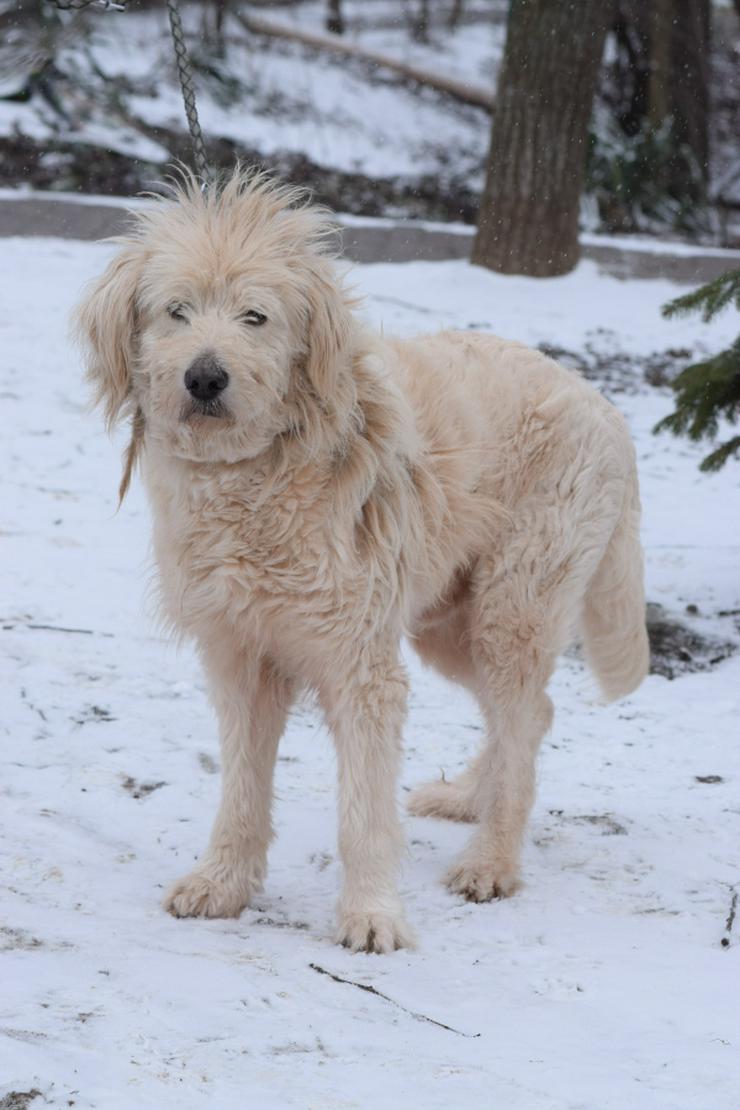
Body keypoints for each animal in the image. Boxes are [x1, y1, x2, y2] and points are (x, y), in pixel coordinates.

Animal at [76, 170, 647, 954]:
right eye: (176, 311)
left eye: (255, 316)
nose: (204, 378)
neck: (258, 474)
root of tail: (606, 407)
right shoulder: (239, 655)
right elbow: (241, 788)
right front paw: (223, 883)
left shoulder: (360, 663)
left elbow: (364, 815)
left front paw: (373, 914)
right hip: (449, 625)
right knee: (531, 714)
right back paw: (469, 797)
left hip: (514, 608)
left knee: (524, 713)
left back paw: (492, 859)